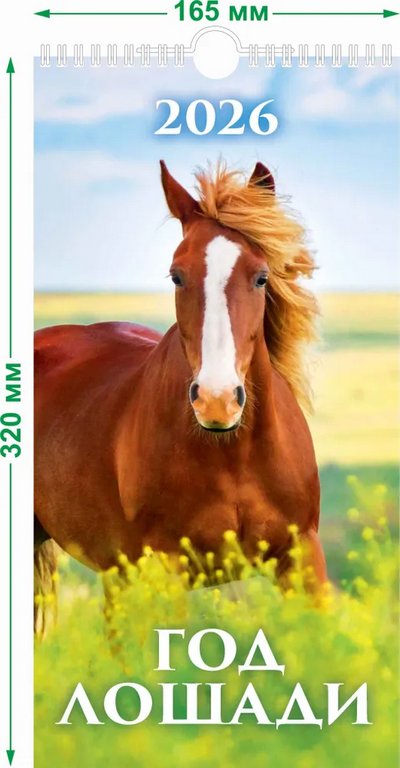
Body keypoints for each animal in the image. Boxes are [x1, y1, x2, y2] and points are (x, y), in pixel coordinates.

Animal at [34, 160, 327, 603]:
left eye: (261, 277)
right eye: (176, 276)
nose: (217, 402)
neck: (233, 455)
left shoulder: (303, 555)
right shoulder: (165, 567)